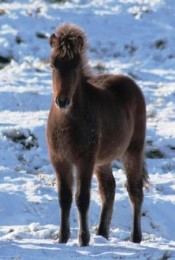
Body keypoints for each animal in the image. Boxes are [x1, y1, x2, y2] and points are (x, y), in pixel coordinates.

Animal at [46, 23, 148, 247]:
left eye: (76, 66)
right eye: (53, 65)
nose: (62, 101)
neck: (67, 123)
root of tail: (131, 84)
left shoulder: (84, 160)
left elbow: (81, 198)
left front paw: (83, 239)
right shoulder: (60, 160)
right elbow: (64, 197)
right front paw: (62, 238)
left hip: (133, 151)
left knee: (135, 191)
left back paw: (135, 238)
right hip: (103, 161)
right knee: (108, 188)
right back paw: (102, 232)